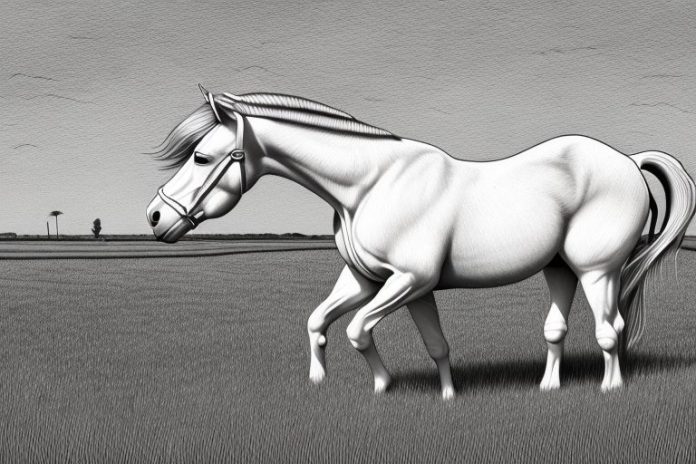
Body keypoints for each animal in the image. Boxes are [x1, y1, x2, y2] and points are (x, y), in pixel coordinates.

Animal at [146, 86, 696, 399]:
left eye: (201, 157)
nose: (154, 217)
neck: (371, 183)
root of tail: (627, 161)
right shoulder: (377, 282)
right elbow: (335, 325)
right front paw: (443, 396)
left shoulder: (409, 281)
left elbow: (358, 332)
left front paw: (383, 386)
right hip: (559, 269)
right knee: (556, 330)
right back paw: (548, 389)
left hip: (598, 271)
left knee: (610, 329)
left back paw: (610, 389)